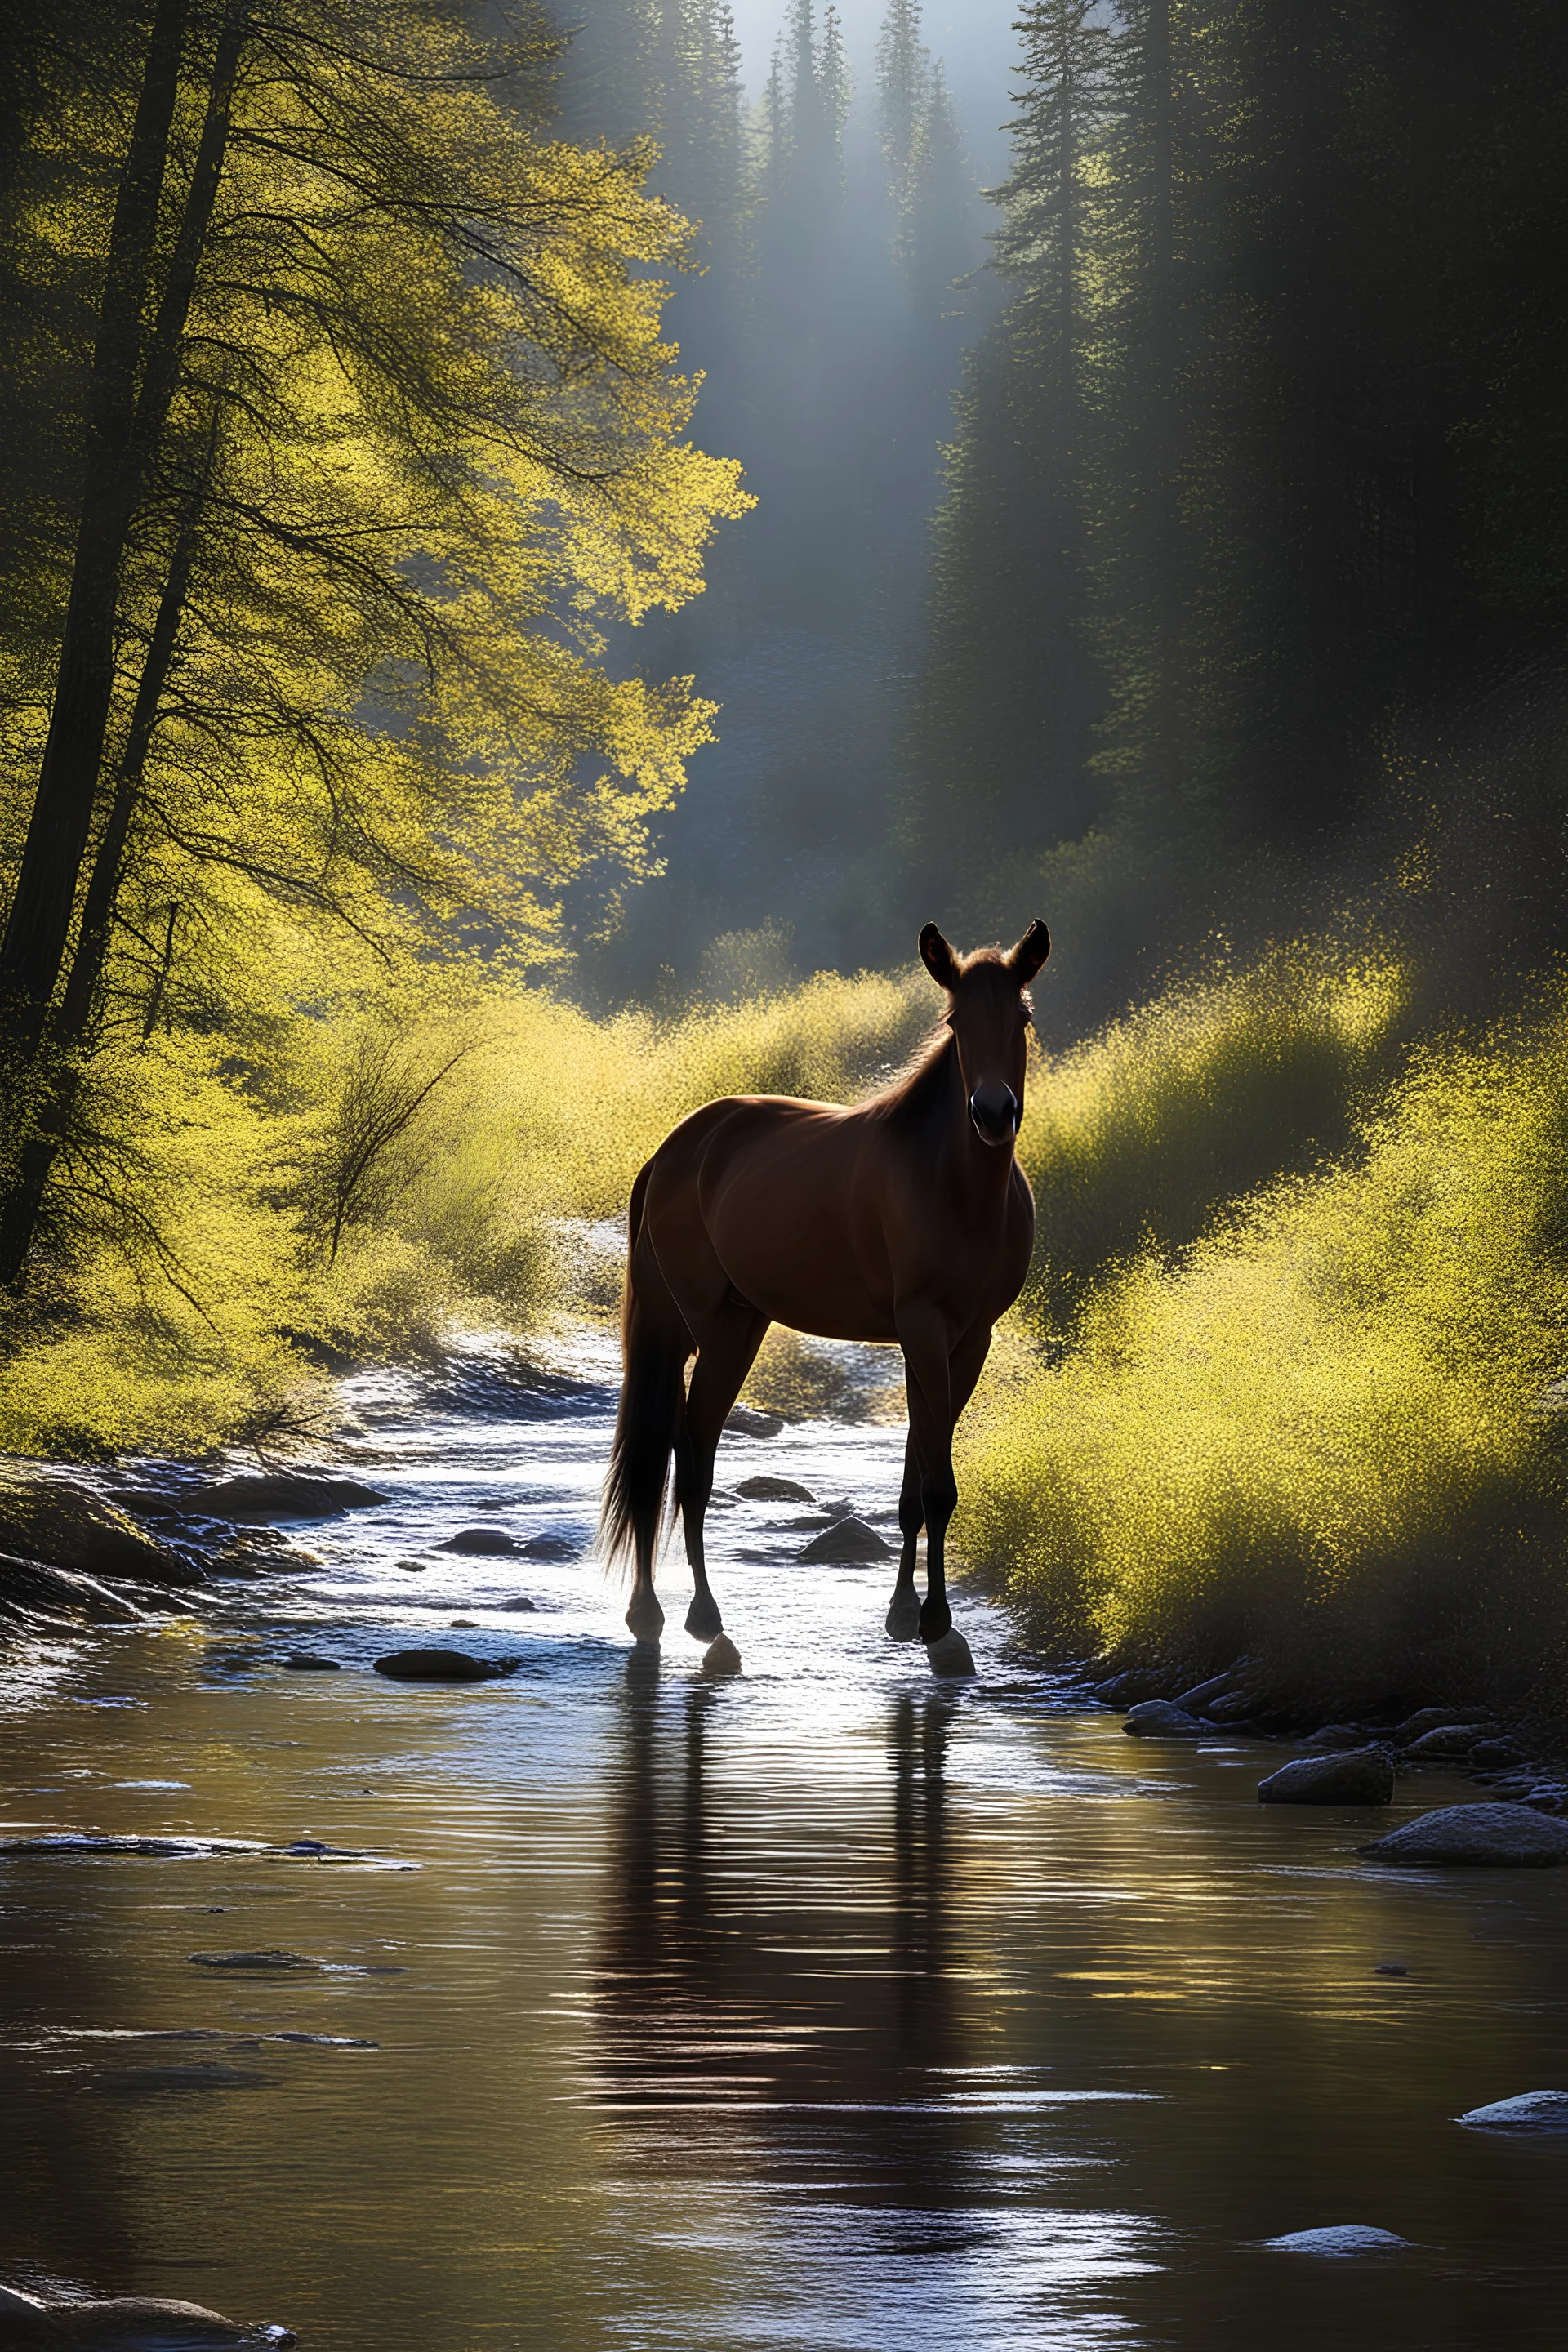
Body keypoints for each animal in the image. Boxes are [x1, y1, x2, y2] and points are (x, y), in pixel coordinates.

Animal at [601, 917, 1053, 1655]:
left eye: (1022, 1017)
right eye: (955, 1021)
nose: (991, 1113)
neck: (953, 1186)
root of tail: (675, 1149)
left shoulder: (966, 1340)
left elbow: (917, 1479)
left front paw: (904, 1612)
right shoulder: (923, 1328)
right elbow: (938, 1484)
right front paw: (938, 1622)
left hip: (742, 1324)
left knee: (682, 1448)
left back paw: (664, 1613)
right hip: (703, 1330)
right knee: (683, 1455)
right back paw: (690, 1615)